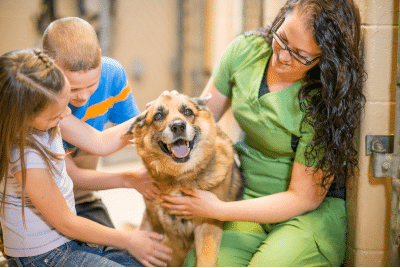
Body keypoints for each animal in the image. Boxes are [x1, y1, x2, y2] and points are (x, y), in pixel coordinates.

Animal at [126, 91, 244, 266]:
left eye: (187, 111)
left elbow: (206, 259)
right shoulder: (152, 220)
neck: (178, 178)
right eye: (158, 115)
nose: (178, 126)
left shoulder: (207, 225)